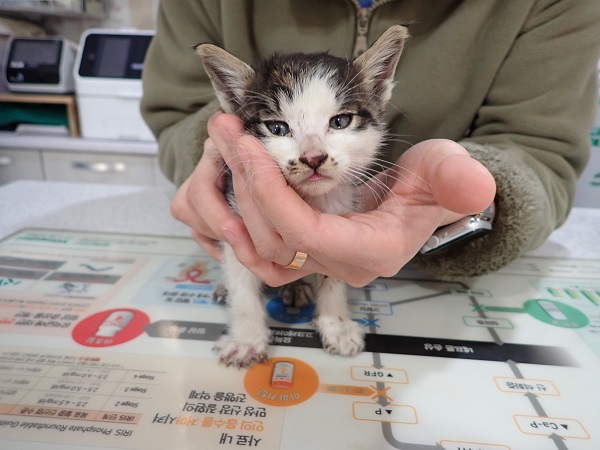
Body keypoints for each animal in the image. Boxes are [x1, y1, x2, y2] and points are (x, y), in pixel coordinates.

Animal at [196, 25, 408, 370]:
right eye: (277, 128)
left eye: (340, 122)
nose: (313, 158)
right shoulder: (236, 215)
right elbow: (242, 283)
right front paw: (246, 340)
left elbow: (334, 274)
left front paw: (335, 324)